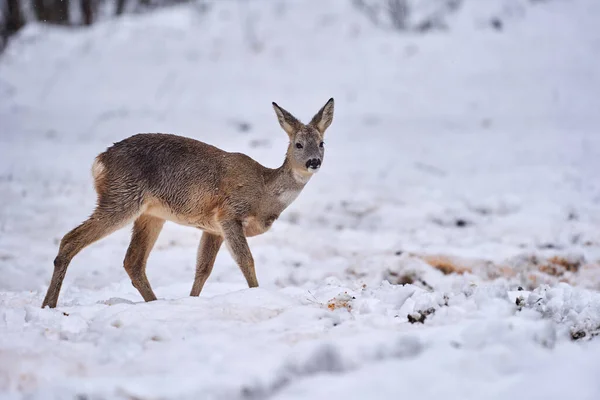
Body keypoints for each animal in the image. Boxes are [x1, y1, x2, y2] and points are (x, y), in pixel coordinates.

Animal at [40, 98, 336, 308]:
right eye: (298, 144)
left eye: (322, 143)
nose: (314, 162)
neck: (264, 192)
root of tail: (100, 161)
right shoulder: (229, 213)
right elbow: (246, 260)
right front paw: (257, 295)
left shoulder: (213, 228)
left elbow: (202, 269)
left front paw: (192, 301)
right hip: (121, 197)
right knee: (70, 239)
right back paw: (49, 305)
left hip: (150, 213)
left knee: (133, 261)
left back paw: (154, 303)